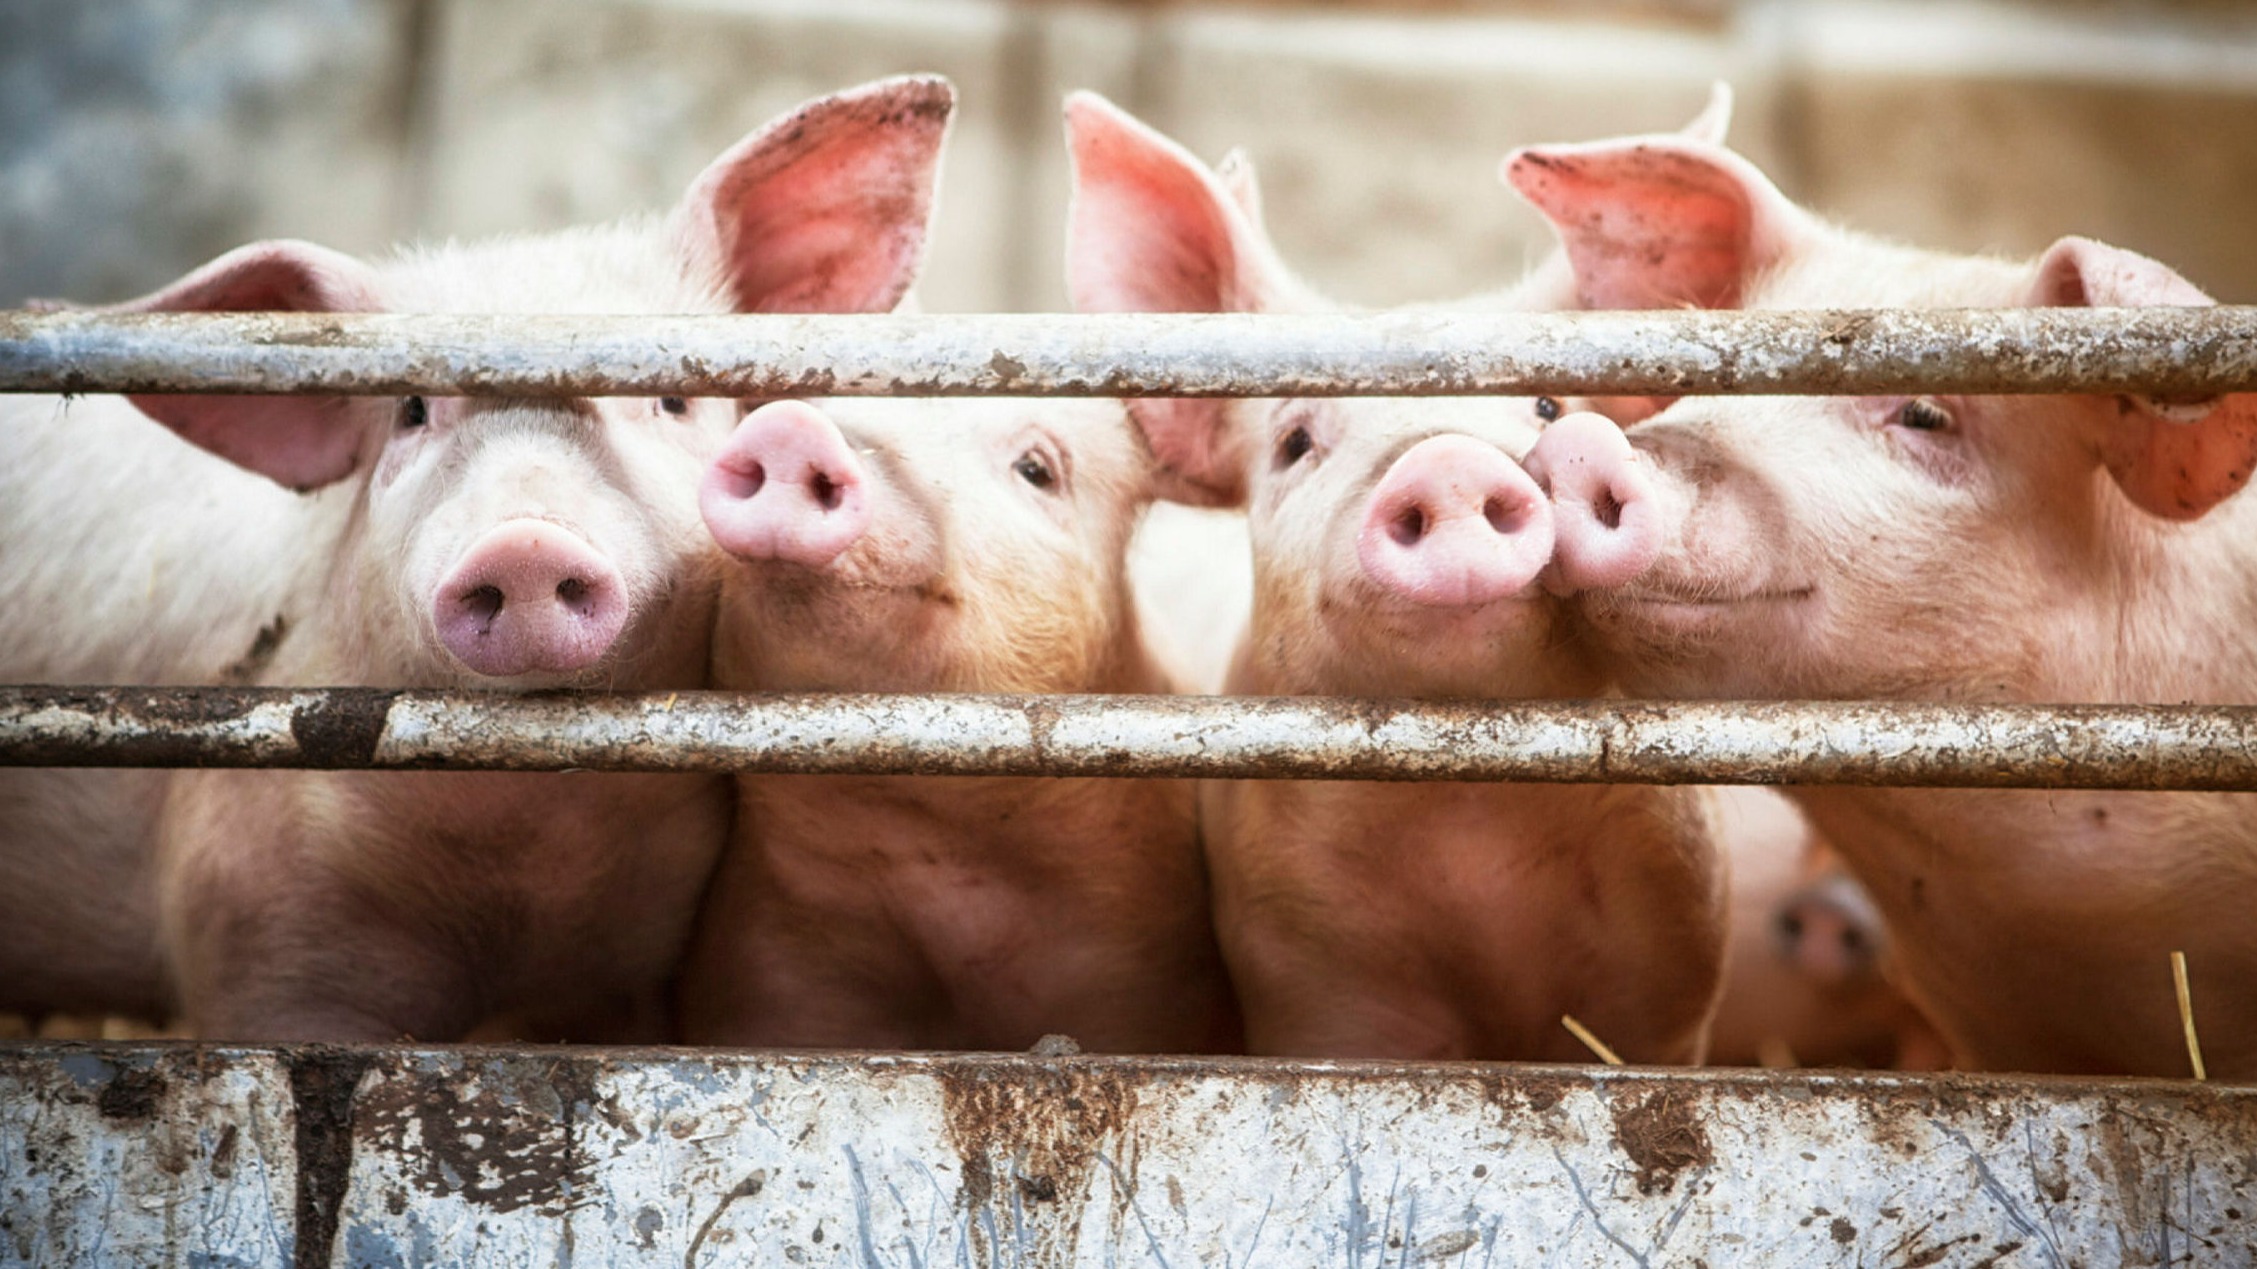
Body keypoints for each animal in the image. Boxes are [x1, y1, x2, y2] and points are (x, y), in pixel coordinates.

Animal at [1062, 91, 1728, 1062]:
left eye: (1547, 404)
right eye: (1295, 441)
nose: (1446, 460)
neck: (1469, 820)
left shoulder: (1672, 962)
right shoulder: (1309, 971)